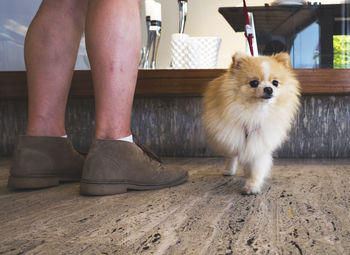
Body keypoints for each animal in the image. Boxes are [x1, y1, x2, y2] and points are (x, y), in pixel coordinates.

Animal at [202, 52, 300, 195]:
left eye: (275, 83)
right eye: (254, 83)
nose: (269, 89)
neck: (256, 112)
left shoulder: (260, 140)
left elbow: (257, 166)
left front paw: (252, 185)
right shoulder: (237, 135)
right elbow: (236, 155)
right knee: (232, 155)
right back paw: (229, 170)